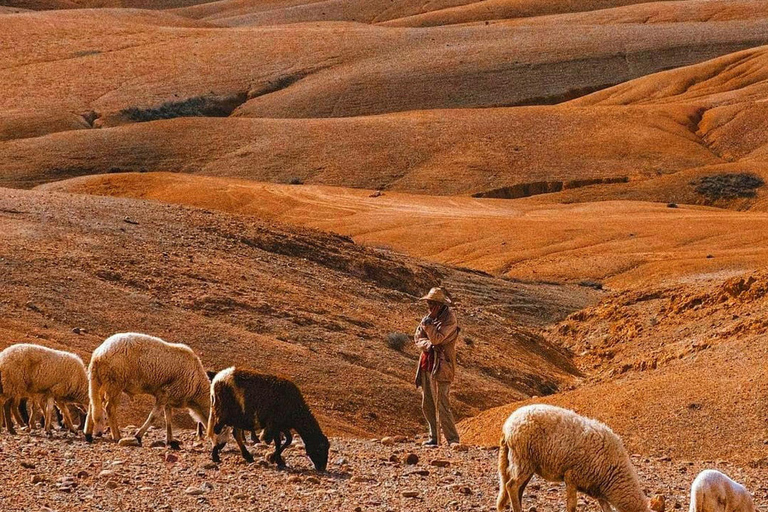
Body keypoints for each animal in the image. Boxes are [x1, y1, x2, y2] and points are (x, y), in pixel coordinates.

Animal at [498, 404, 648, 512]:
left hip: (526, 463)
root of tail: (507, 425)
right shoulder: (571, 477)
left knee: (518, 489)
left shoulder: (597, 489)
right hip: (522, 458)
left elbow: (606, 509)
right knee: (511, 486)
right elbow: (572, 505)